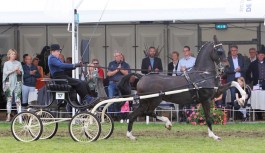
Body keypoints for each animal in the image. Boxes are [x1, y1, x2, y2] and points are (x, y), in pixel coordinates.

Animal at [117, 35, 245, 140]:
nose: (227, 67)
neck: (203, 75)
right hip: (153, 100)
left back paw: (132, 135)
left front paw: (242, 99)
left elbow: (234, 83)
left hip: (146, 102)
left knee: (136, 114)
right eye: (219, 51)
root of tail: (142, 77)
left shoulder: (216, 92)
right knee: (145, 112)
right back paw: (166, 124)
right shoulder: (206, 99)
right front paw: (214, 136)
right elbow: (208, 118)